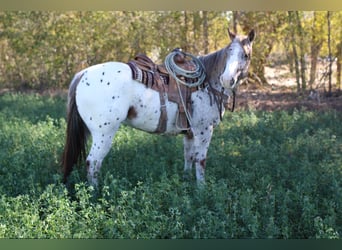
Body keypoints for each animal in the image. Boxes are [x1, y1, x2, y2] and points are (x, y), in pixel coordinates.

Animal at [61, 28, 255, 187]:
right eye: (229, 52)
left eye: (246, 55)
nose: (227, 79)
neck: (206, 82)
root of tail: (83, 74)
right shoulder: (204, 130)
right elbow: (200, 161)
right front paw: (201, 190)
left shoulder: (190, 133)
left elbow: (189, 157)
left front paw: (186, 182)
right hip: (104, 134)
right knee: (93, 163)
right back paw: (95, 194)